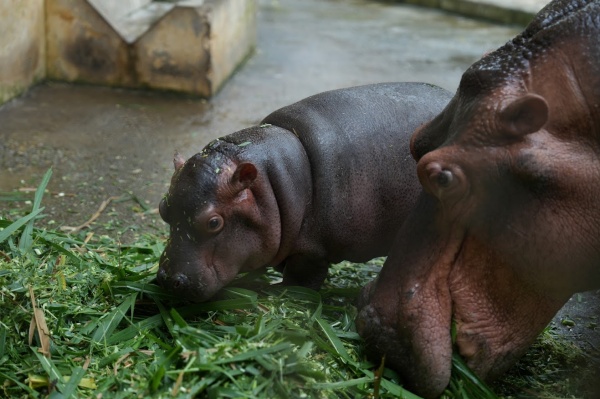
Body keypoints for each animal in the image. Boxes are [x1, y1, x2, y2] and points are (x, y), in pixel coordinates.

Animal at [157, 83, 452, 304]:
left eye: (214, 222)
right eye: (162, 208)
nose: (167, 279)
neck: (269, 183)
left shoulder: (313, 250)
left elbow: (303, 279)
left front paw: (278, 290)